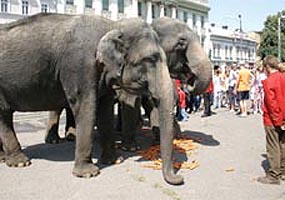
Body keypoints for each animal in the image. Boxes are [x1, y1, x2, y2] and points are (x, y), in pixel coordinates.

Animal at [0, 13, 182, 184]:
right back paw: (20, 162)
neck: (112, 25)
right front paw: (88, 173)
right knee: (4, 115)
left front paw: (114, 160)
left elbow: (105, 110)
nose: (179, 179)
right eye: (150, 59)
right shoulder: (79, 66)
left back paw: (4, 158)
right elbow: (86, 106)